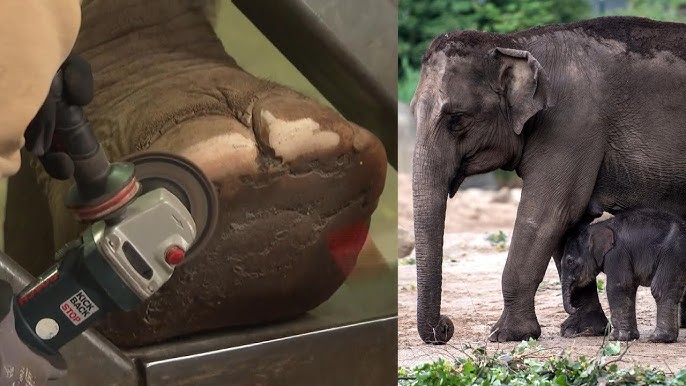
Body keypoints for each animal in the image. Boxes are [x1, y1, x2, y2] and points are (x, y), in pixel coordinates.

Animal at [560, 210, 686, 342]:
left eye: (570, 261)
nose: (574, 308)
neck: (598, 226)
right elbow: (629, 287)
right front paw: (629, 337)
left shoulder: (617, 254)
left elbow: (619, 286)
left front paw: (616, 337)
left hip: (673, 254)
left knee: (660, 290)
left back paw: (658, 338)